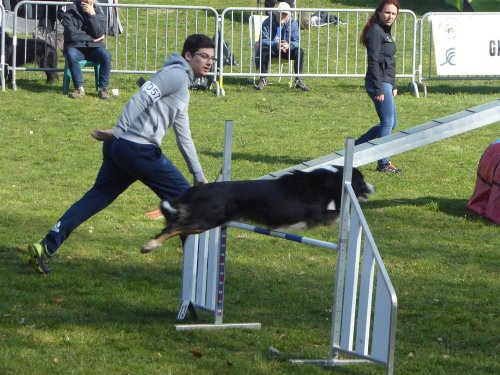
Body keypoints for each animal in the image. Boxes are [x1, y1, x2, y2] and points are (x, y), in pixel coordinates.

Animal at [140, 167, 372, 253]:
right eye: (361, 180)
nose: (372, 188)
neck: (330, 180)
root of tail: (201, 188)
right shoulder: (316, 214)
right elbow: (338, 214)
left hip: (208, 222)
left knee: (175, 225)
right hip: (204, 220)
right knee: (173, 227)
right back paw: (149, 245)